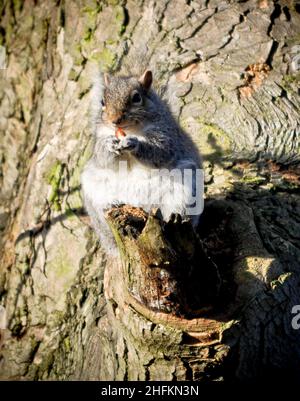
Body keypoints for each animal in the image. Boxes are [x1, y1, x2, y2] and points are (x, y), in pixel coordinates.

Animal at [80, 68, 204, 253]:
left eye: (136, 98)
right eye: (102, 101)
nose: (114, 120)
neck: (131, 129)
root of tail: (141, 207)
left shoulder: (165, 135)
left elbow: (161, 152)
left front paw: (135, 144)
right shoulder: (100, 136)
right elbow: (103, 159)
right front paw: (109, 145)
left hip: (185, 184)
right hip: (94, 191)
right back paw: (112, 204)